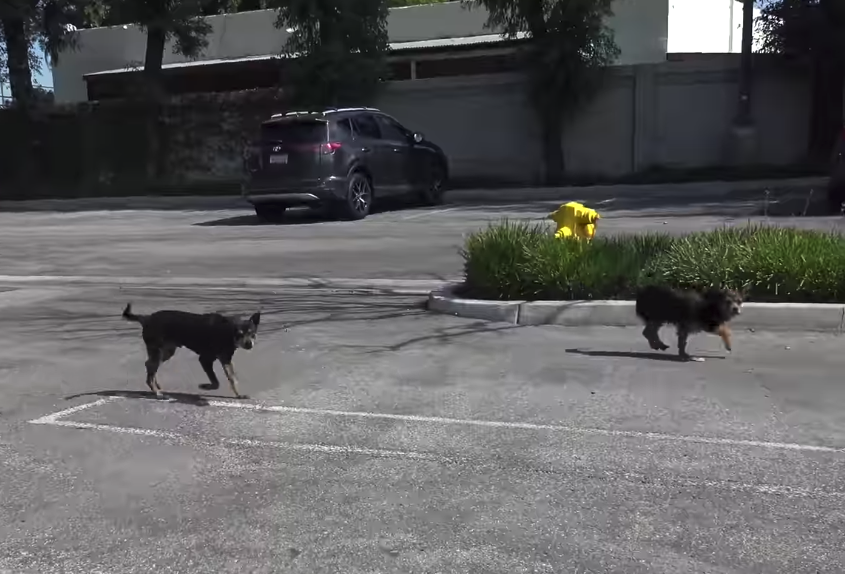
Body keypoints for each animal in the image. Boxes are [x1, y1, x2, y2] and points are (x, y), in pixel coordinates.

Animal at [122, 306, 258, 400]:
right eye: (239, 334)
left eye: (252, 333)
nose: (249, 344)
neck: (227, 331)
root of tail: (146, 318)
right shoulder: (205, 359)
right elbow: (216, 382)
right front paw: (205, 386)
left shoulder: (226, 360)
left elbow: (232, 379)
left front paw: (239, 395)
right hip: (158, 351)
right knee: (151, 367)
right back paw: (157, 392)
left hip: (167, 351)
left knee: (149, 365)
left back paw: (156, 386)